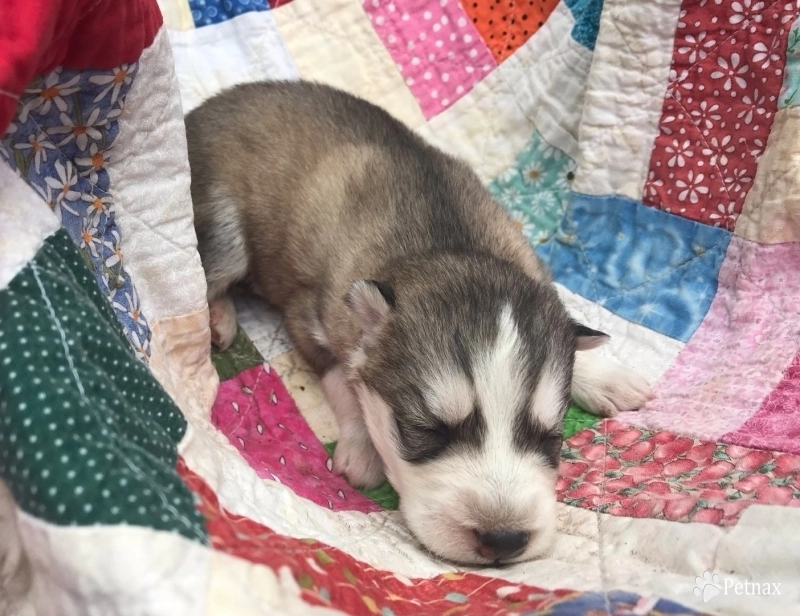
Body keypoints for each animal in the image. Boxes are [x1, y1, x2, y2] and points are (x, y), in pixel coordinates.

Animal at [184, 82, 652, 568]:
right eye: (427, 430)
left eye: (552, 437)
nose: (504, 539)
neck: (450, 246)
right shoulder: (310, 313)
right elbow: (343, 377)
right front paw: (364, 446)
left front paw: (605, 375)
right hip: (223, 227)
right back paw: (217, 317)